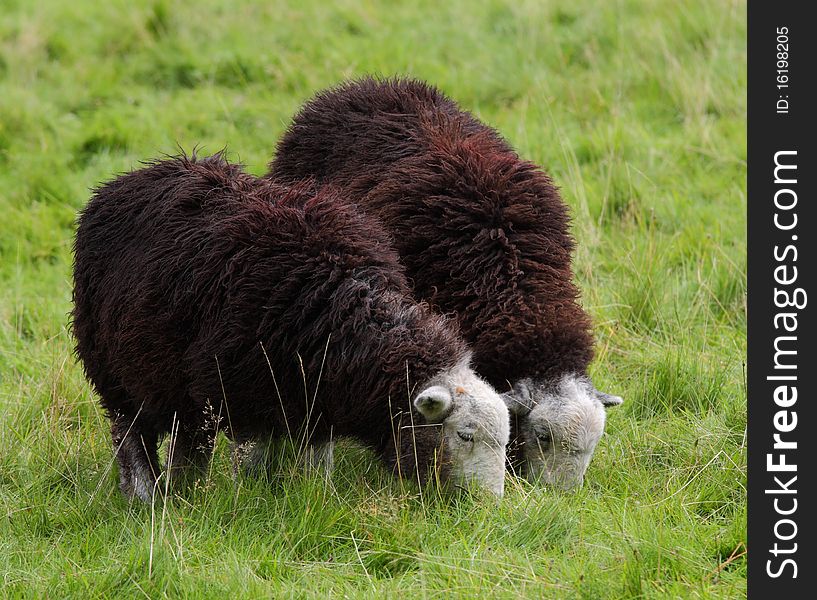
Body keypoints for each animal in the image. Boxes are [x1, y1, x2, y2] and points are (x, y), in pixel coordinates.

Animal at [75, 152, 510, 500]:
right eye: (465, 434)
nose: (486, 508)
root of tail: (135, 176)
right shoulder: (238, 394)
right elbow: (243, 460)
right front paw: (245, 497)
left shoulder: (314, 402)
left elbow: (316, 463)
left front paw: (315, 495)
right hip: (116, 372)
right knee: (132, 436)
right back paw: (145, 496)